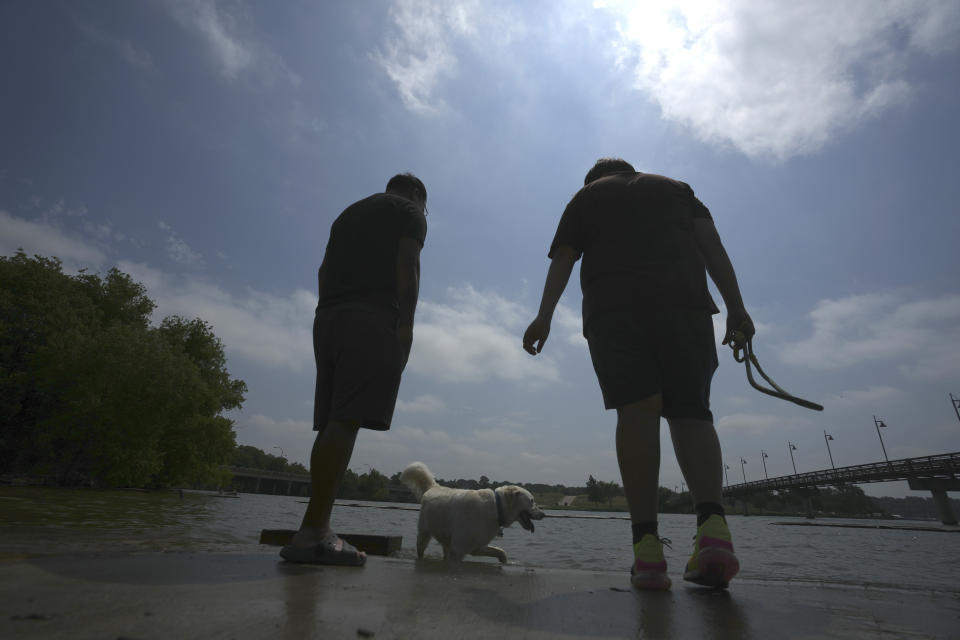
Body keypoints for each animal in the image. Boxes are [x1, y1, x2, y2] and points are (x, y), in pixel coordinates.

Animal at [400, 462, 548, 564]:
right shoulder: (458, 549)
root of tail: (434, 487)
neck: (496, 508)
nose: (544, 514)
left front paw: (504, 562)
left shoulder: (478, 546)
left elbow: (501, 551)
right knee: (421, 549)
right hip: (424, 534)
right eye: (532, 500)